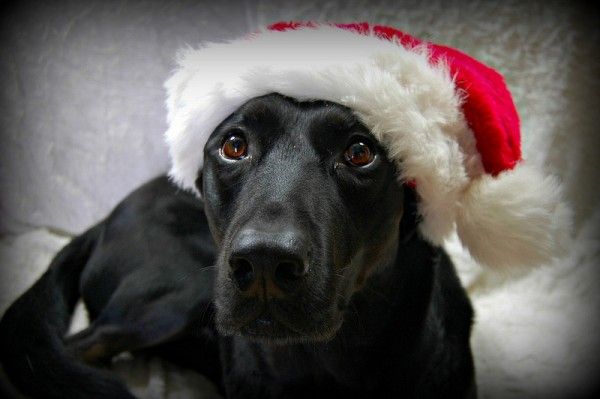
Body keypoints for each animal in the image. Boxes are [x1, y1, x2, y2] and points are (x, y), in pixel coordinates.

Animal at [2, 94, 476, 399]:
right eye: (234, 145)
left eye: (359, 152)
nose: (265, 261)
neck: (330, 359)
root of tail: (103, 220)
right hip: (180, 291)